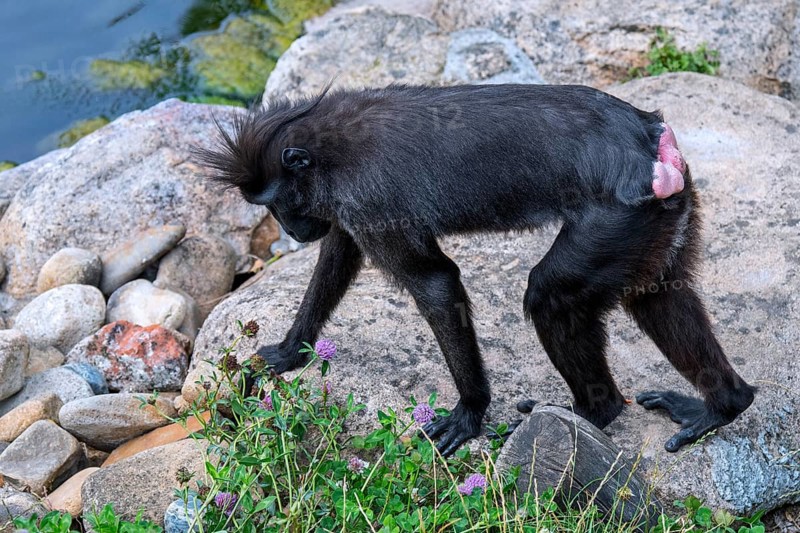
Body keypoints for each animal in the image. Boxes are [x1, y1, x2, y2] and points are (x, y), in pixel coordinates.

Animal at [196, 83, 755, 457]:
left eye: (276, 202)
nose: (290, 228)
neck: (328, 142)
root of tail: (651, 144)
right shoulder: (349, 210)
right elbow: (337, 255)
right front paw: (291, 351)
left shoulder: (367, 201)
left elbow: (437, 284)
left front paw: (469, 413)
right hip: (657, 219)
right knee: (656, 294)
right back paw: (722, 406)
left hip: (616, 218)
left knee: (550, 297)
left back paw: (589, 413)